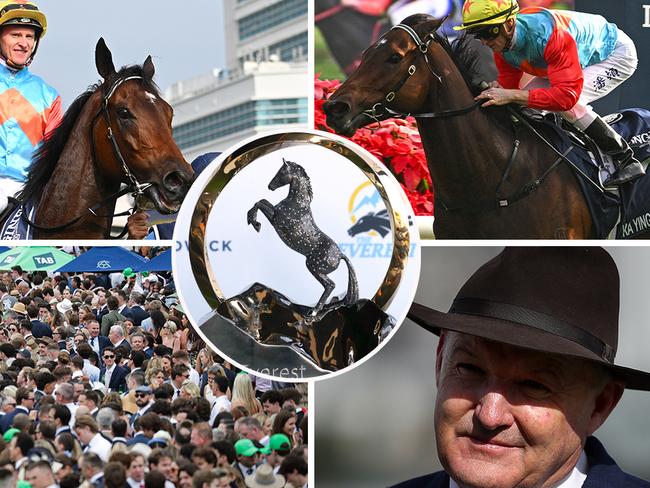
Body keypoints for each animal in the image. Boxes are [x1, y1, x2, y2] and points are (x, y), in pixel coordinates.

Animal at [248, 158, 360, 314]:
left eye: (281, 172)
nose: (270, 186)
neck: (297, 203)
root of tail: (340, 255)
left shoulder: (275, 219)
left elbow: (259, 203)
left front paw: (255, 223)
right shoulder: (274, 213)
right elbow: (262, 201)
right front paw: (252, 220)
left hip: (314, 267)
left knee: (330, 285)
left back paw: (314, 312)